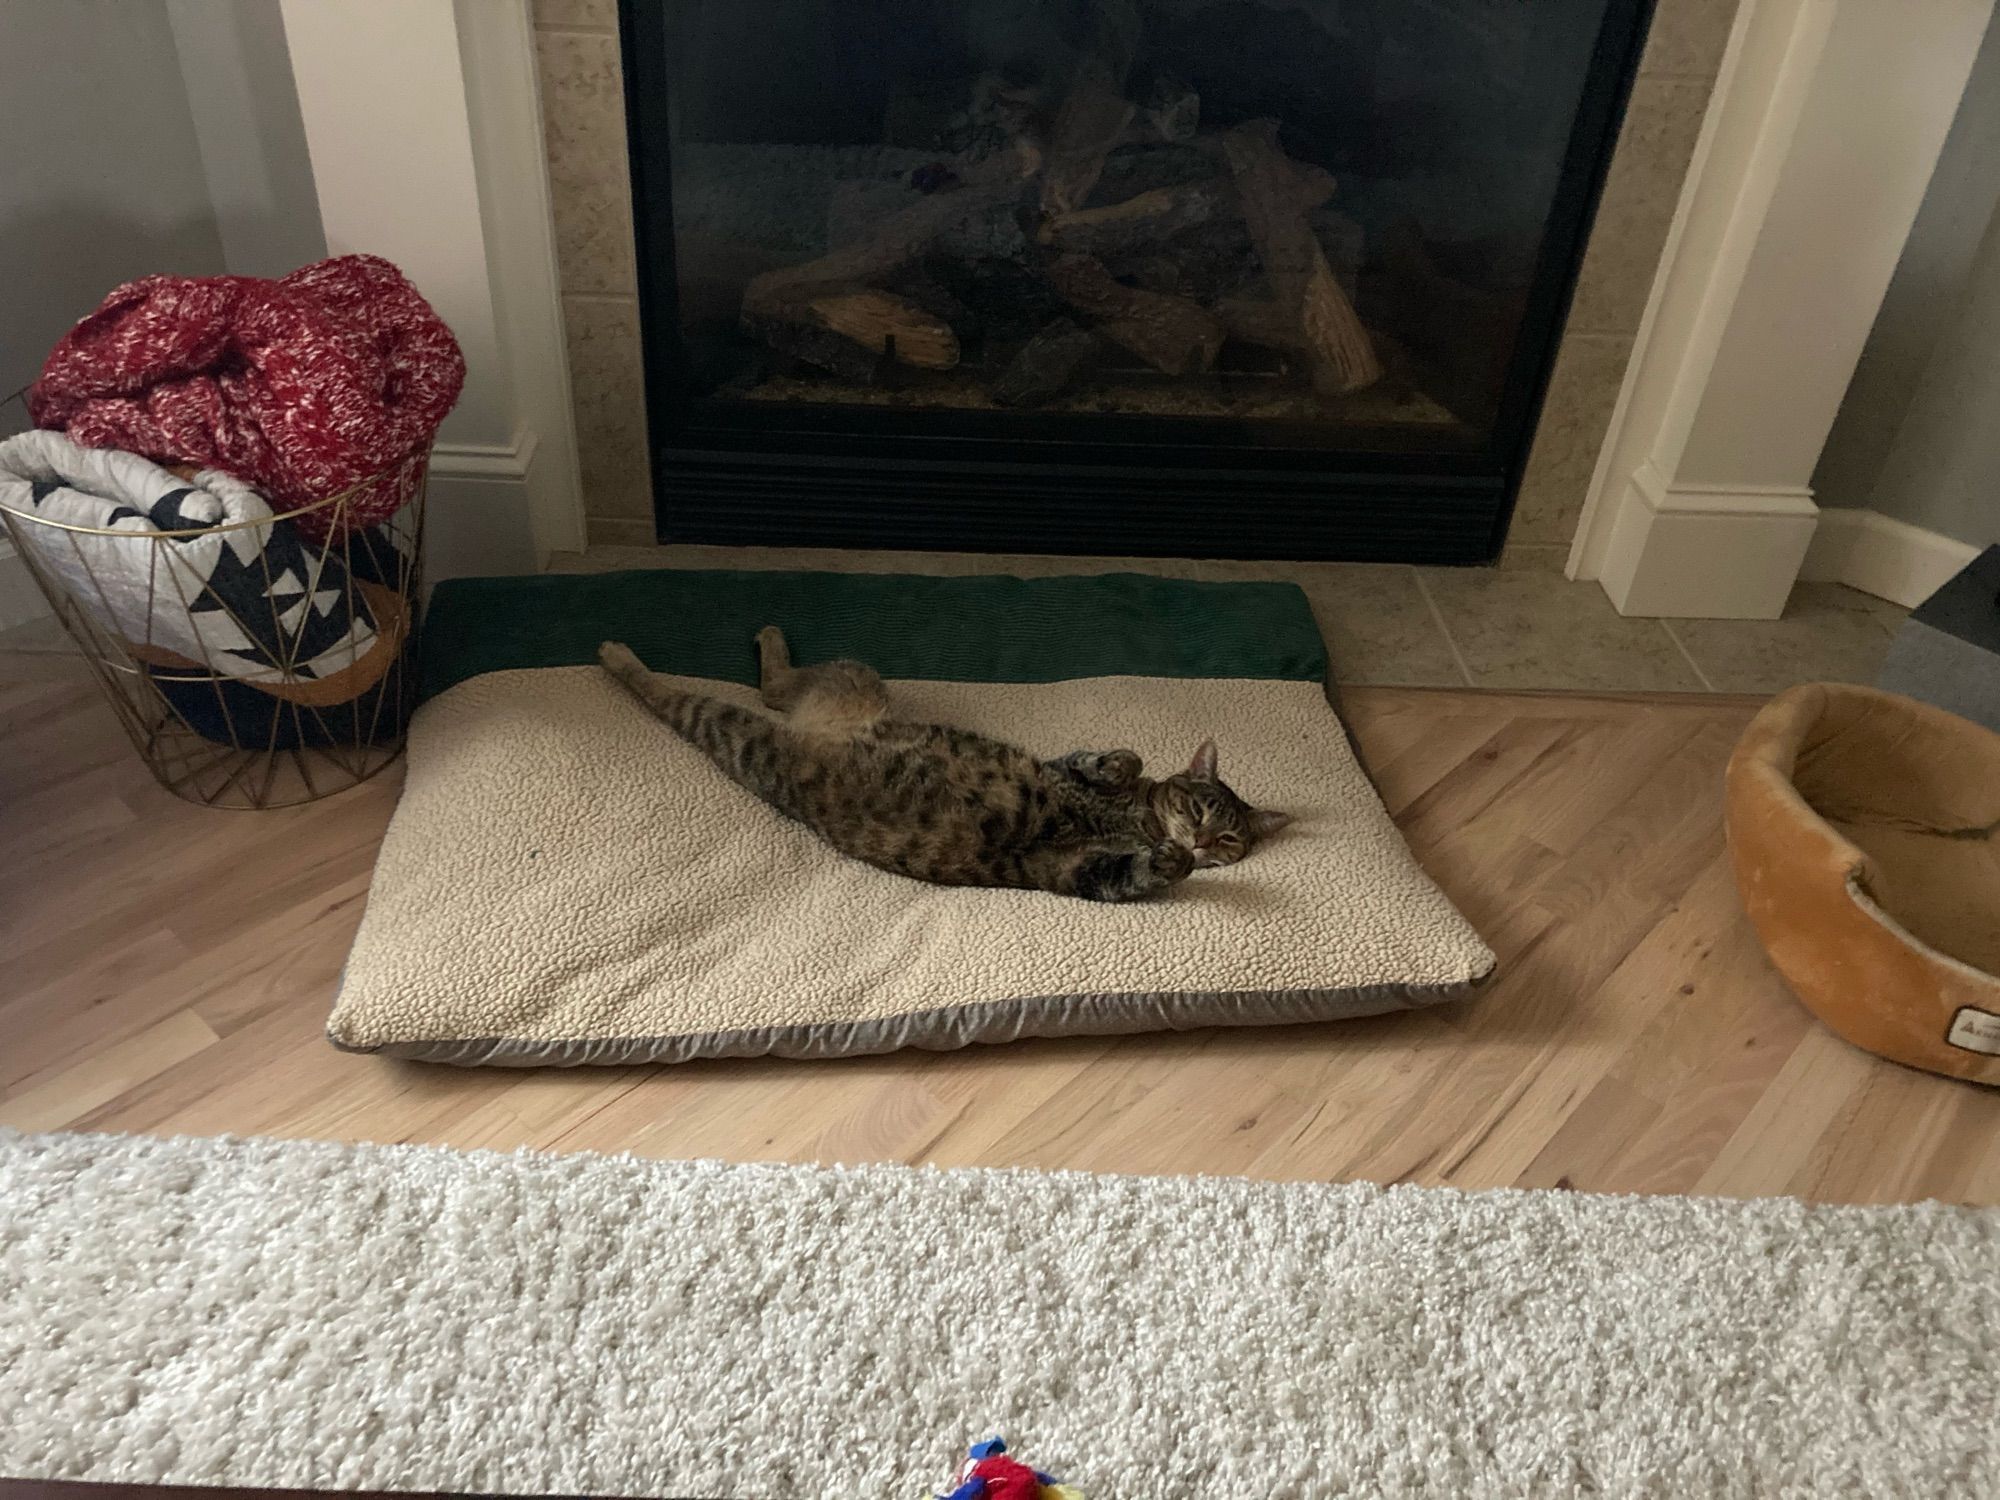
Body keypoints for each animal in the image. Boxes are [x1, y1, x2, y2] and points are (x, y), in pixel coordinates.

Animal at [592, 628, 1288, 900]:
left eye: (1228, 839)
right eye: (1197, 808)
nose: (1199, 843)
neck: (1131, 821)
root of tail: (810, 731)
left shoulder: (1074, 870)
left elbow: (1133, 869)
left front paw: (1172, 860)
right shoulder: (1064, 768)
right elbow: (1112, 758)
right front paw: (1120, 768)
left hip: (825, 695)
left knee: (773, 688)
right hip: (761, 717)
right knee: (685, 690)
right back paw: (622, 653)